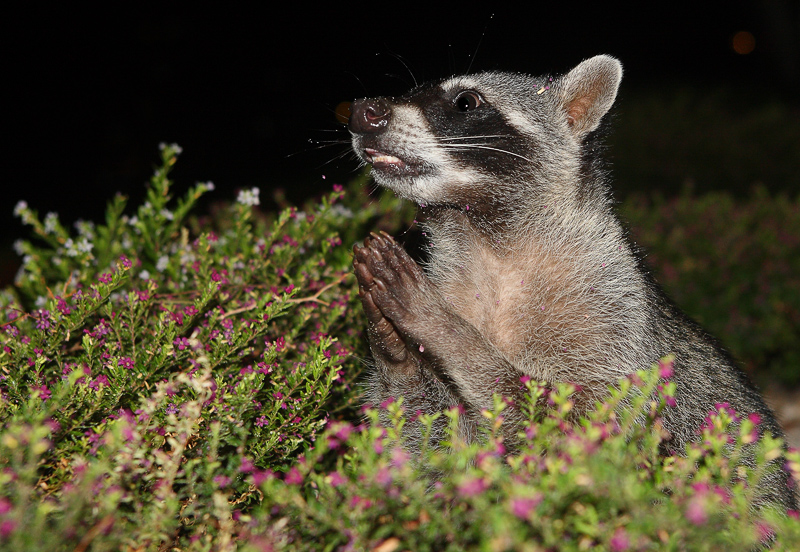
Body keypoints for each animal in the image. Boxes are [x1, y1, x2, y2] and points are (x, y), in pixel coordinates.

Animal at [350, 55, 800, 508]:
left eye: (466, 102)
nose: (362, 111)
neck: (484, 239)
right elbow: (433, 455)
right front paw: (397, 352)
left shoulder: (614, 316)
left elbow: (586, 430)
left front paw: (445, 330)